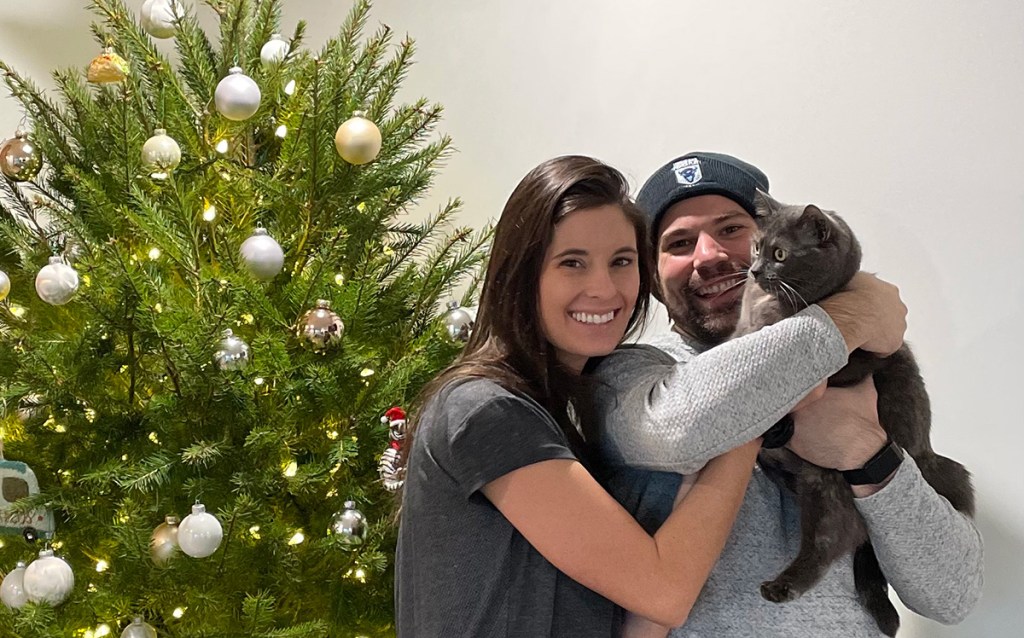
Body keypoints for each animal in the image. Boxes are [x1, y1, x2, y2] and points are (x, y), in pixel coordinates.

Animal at [733, 192, 970, 634]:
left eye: (780, 253)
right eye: (756, 247)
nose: (754, 271)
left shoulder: (859, 358)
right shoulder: (741, 329)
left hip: (828, 485)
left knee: (828, 542)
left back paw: (782, 586)